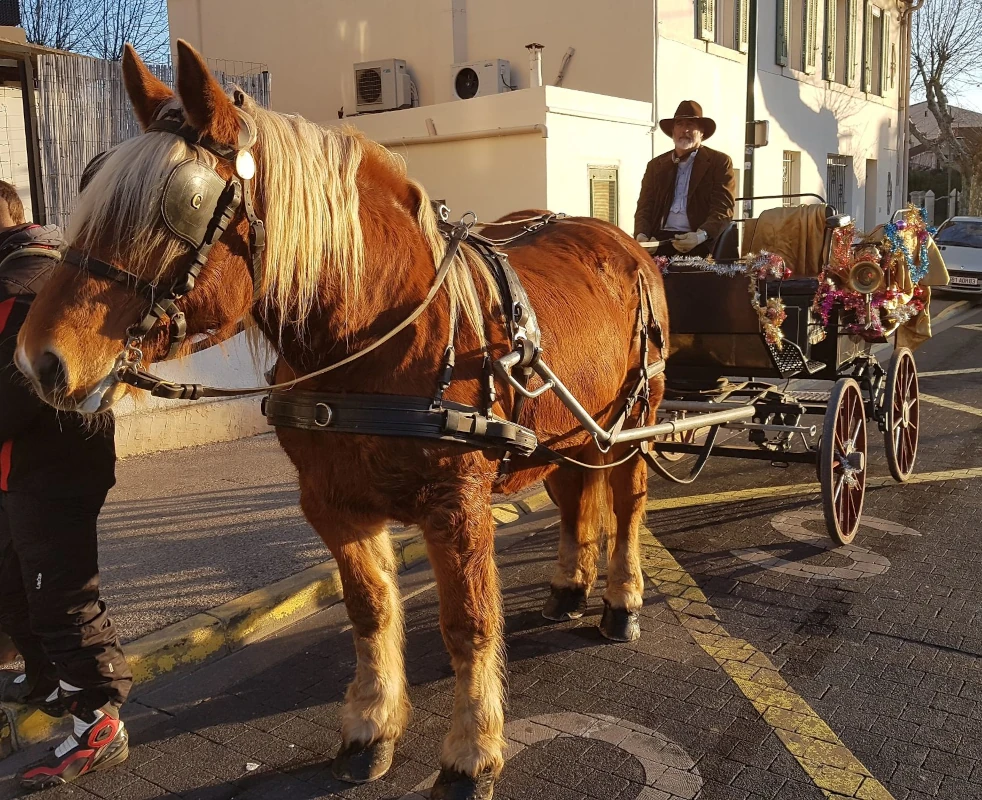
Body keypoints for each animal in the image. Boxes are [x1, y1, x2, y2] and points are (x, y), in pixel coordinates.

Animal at [15, 40, 668, 800]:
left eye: (182, 204)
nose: (39, 360)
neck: (378, 337)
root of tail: (623, 243)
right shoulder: (332, 501)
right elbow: (371, 608)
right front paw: (372, 727)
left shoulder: (458, 504)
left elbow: (469, 621)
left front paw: (472, 751)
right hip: (570, 434)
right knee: (573, 499)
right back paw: (569, 586)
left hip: (634, 419)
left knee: (627, 504)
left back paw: (621, 601)